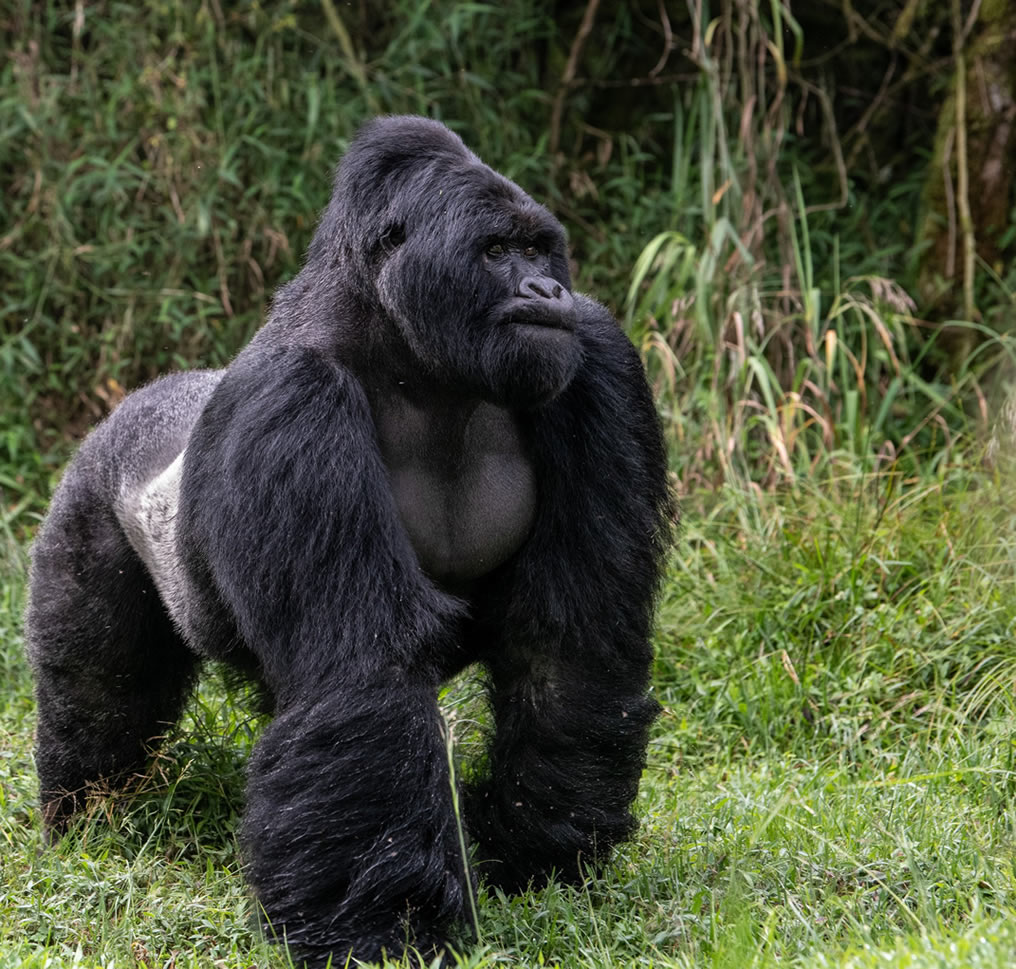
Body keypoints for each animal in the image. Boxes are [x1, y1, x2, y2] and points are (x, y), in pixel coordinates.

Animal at [23, 117, 670, 962]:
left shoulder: (593, 360)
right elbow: (363, 673)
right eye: (496, 251)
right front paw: (386, 927)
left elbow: (567, 643)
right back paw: (93, 814)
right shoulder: (292, 402)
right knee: (98, 686)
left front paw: (539, 850)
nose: (547, 291)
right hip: (87, 499)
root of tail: (135, 401)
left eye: (539, 249)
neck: (409, 353)